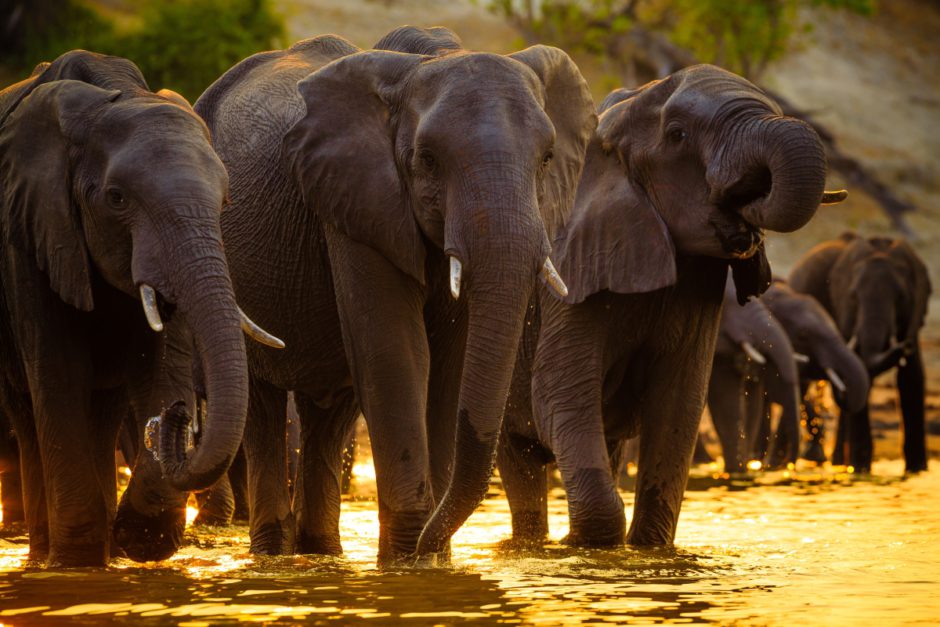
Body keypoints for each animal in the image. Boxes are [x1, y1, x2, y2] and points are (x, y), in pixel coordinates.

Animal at [0, 50, 280, 568]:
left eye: (225, 201)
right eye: (116, 199)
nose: (177, 417)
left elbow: (161, 366)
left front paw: (139, 537)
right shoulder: (31, 232)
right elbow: (59, 373)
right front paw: (78, 566)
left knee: (101, 413)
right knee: (29, 414)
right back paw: (47, 558)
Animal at [115, 25, 596, 564]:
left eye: (547, 159)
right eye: (427, 160)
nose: (170, 420)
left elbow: (448, 367)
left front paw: (431, 562)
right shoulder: (354, 203)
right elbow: (395, 354)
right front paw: (408, 561)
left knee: (331, 413)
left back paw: (321, 553)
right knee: (262, 403)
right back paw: (275, 554)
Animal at [784, 233, 932, 474]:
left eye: (901, 297)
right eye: (853, 297)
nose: (904, 346)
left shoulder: (914, 314)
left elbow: (911, 378)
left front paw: (917, 470)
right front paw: (861, 469)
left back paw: (838, 463)